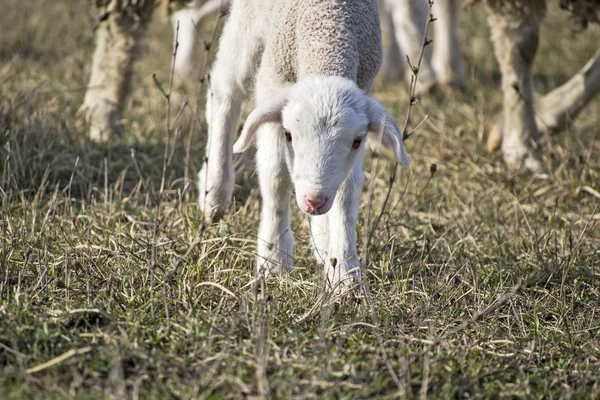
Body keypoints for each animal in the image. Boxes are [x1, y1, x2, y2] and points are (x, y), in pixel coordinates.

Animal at [199, 0, 410, 288]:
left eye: (357, 141)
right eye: (288, 135)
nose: (314, 200)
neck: (327, 33)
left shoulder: (363, 86)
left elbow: (347, 191)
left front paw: (344, 274)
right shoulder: (272, 81)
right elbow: (275, 175)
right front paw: (273, 260)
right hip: (247, 22)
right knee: (225, 90)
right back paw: (214, 192)